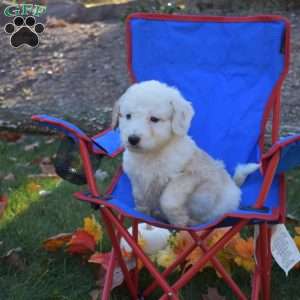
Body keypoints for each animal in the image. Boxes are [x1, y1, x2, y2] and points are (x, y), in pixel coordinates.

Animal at [112, 81, 258, 226]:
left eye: (154, 119)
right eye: (128, 116)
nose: (132, 139)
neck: (152, 154)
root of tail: (235, 186)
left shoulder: (193, 176)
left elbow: (168, 199)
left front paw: (179, 221)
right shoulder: (136, 180)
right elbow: (140, 199)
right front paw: (142, 215)